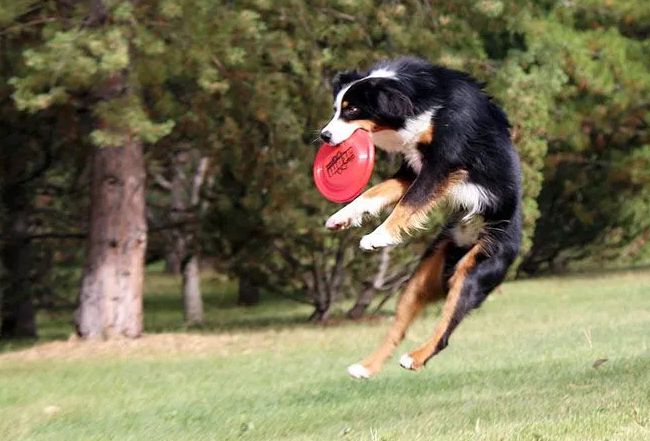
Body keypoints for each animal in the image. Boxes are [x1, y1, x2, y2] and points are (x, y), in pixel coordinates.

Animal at [318, 55, 520, 378]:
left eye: (351, 110)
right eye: (336, 108)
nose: (324, 136)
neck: (416, 100)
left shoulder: (444, 163)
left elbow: (410, 202)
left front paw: (377, 237)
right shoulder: (412, 168)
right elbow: (373, 193)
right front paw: (341, 216)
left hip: (477, 268)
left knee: (445, 331)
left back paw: (415, 358)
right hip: (421, 277)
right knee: (398, 328)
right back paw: (366, 368)